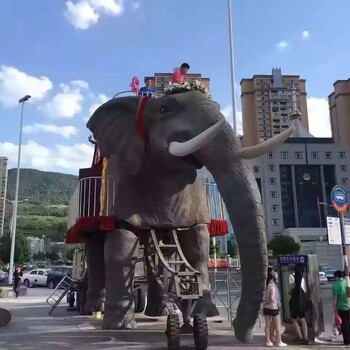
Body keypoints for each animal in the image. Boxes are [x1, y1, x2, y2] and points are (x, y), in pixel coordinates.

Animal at [85, 89, 296, 342]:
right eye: (164, 109)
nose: (240, 331)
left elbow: (198, 246)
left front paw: (204, 313)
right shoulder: (122, 181)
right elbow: (121, 245)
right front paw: (121, 326)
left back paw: (161, 310)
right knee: (96, 253)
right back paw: (94, 310)